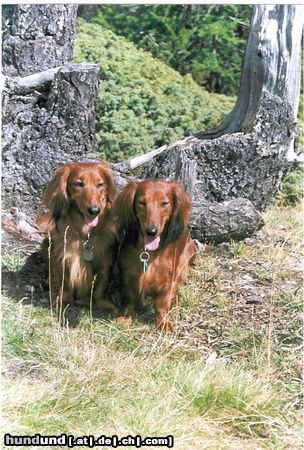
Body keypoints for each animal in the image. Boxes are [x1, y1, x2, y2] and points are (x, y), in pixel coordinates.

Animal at [37, 163, 117, 316]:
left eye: (100, 185)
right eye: (78, 184)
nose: (94, 210)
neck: (85, 234)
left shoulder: (105, 259)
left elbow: (100, 286)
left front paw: (105, 304)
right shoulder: (62, 257)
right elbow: (65, 281)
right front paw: (63, 301)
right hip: (46, 244)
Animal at [113, 178, 195, 330]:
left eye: (164, 203)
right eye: (142, 202)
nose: (151, 231)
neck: (149, 253)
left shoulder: (168, 280)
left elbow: (161, 303)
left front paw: (162, 323)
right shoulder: (127, 275)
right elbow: (129, 298)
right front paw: (126, 316)